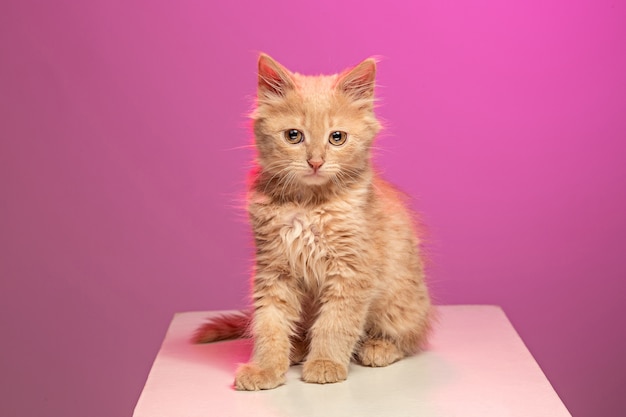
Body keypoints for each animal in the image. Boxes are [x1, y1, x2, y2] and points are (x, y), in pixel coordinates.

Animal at [194, 52, 428, 390]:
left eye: (337, 137)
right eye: (294, 136)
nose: (316, 161)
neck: (307, 205)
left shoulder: (352, 270)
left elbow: (336, 322)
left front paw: (325, 363)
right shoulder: (273, 268)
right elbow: (269, 323)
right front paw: (266, 368)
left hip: (401, 301)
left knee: (408, 338)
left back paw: (378, 347)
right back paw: (298, 349)